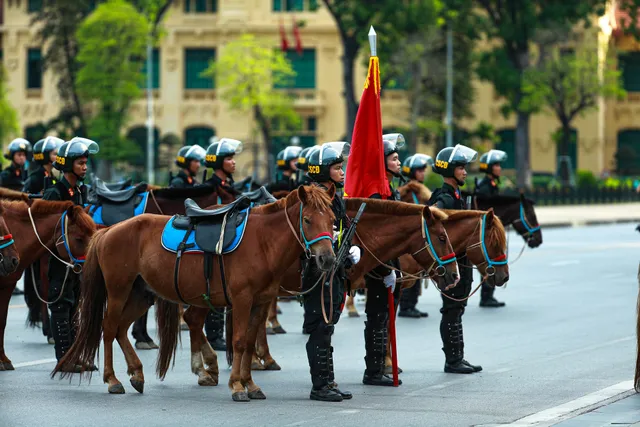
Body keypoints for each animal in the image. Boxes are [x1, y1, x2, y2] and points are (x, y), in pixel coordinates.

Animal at [53, 186, 336, 402]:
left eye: (333, 219)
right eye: (308, 220)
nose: (328, 258)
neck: (263, 241)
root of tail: (107, 231)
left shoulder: (261, 302)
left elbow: (249, 342)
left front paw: (250, 384)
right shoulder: (242, 300)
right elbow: (240, 342)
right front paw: (237, 385)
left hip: (141, 295)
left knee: (122, 329)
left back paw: (137, 373)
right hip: (118, 291)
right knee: (109, 328)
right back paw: (112, 379)